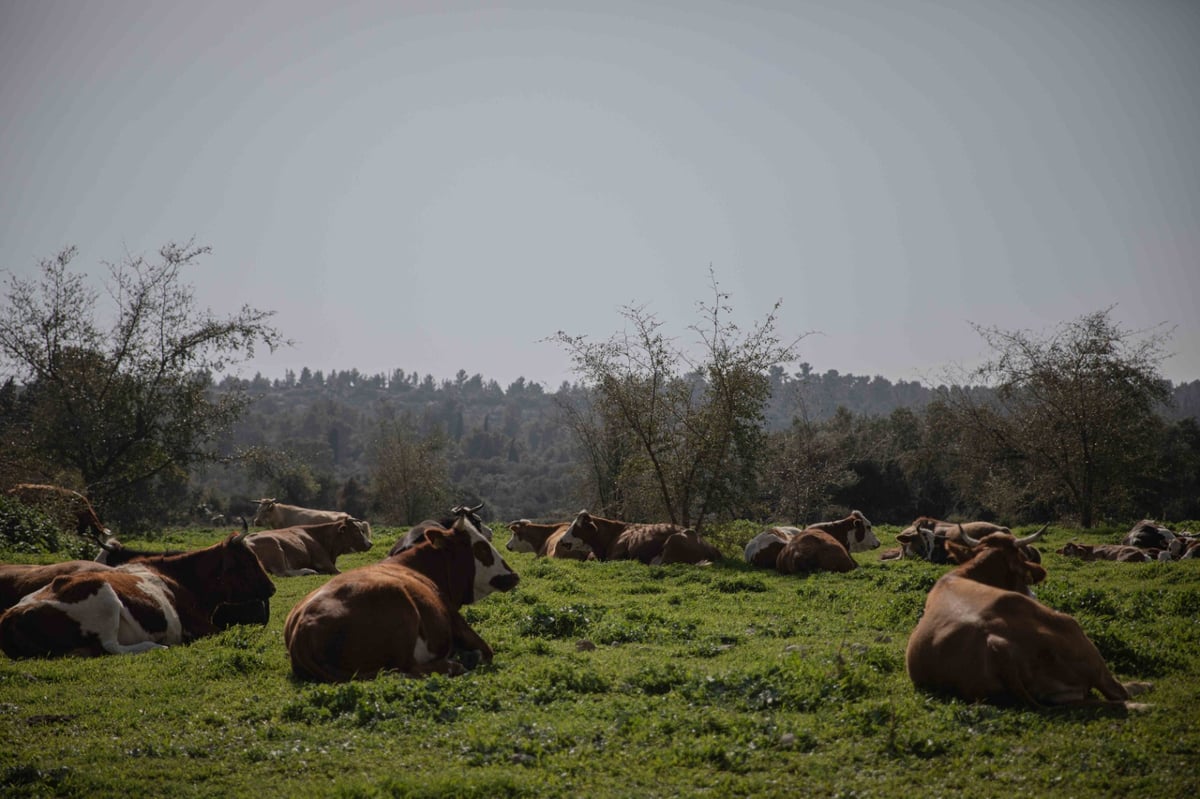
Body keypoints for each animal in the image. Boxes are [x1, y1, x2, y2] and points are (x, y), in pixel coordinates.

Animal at [0, 532, 274, 657]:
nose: (272, 588)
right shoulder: (202, 626)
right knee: (112, 647)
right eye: (248, 561)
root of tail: (12, 613)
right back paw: (157, 645)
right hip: (105, 596)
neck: (181, 578)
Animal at [244, 513, 372, 575]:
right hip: (275, 547)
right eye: (355, 530)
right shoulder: (323, 561)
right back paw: (308, 571)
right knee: (282, 572)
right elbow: (338, 571)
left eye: (362, 530)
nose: (370, 543)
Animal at [288, 520, 523, 681]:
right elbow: (486, 651)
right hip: (402, 609)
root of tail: (303, 627)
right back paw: (455, 665)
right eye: (481, 548)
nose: (513, 575)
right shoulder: (456, 620)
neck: (420, 566)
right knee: (405, 668)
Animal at [902, 527, 1147, 705]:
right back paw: (1144, 688)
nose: (1033, 594)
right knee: (1118, 692)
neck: (961, 575)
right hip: (1074, 629)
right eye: (1021, 558)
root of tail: (997, 644)